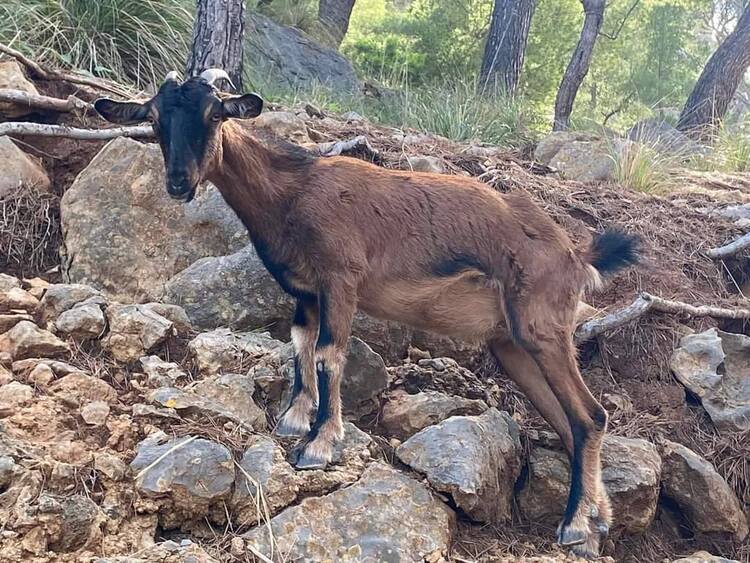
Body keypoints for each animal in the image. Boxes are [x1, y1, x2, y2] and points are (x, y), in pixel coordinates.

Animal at [95, 71, 640, 560]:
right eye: (154, 120)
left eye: (214, 114)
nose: (178, 183)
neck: (293, 192)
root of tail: (575, 253)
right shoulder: (306, 291)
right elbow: (300, 343)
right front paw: (295, 418)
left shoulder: (341, 280)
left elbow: (329, 353)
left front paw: (318, 445)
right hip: (512, 346)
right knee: (570, 424)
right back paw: (595, 526)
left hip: (541, 327)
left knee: (590, 415)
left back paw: (574, 526)